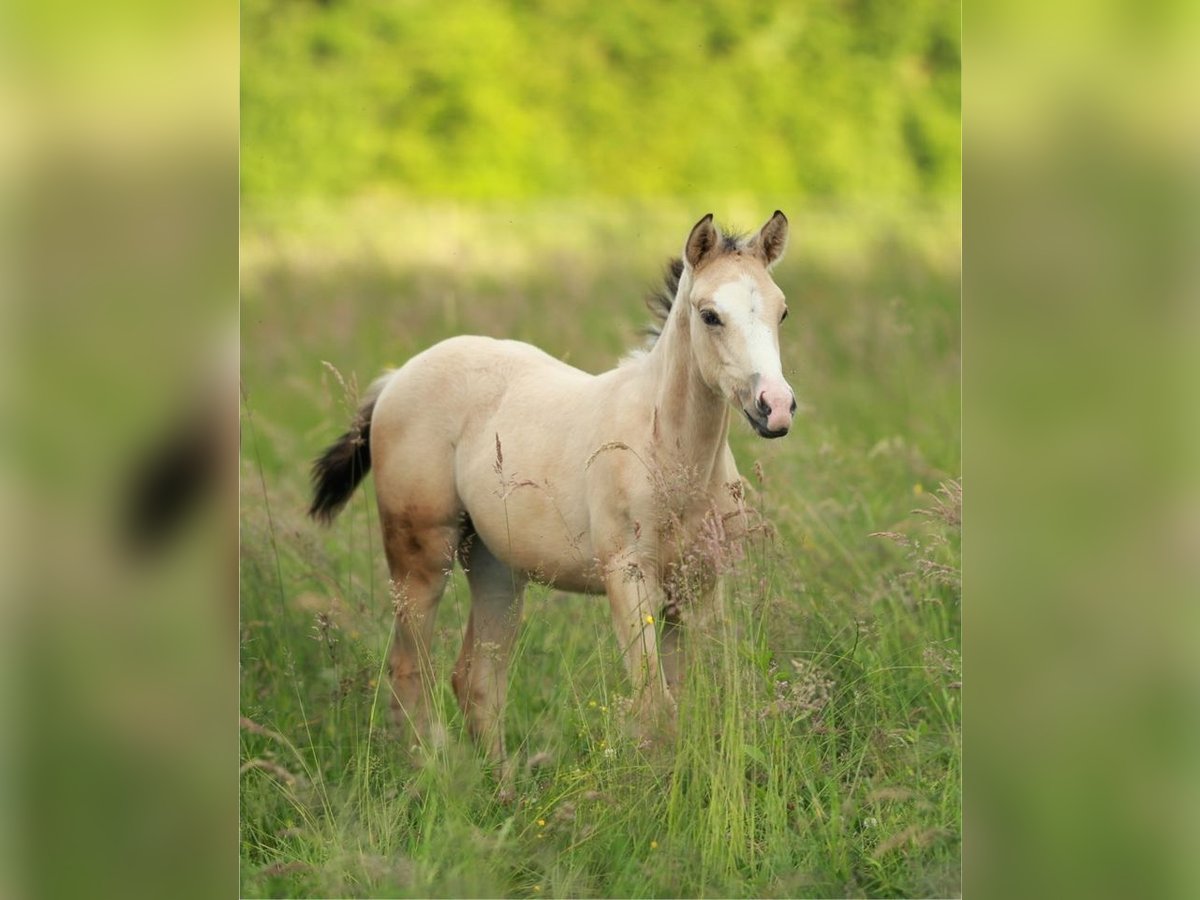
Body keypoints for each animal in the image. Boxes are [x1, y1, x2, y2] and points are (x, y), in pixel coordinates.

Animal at [312, 213, 796, 768]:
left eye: (782, 311)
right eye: (710, 315)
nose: (775, 407)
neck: (670, 457)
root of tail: (395, 379)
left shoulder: (699, 585)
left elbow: (691, 702)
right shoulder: (628, 577)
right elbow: (655, 708)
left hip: (495, 567)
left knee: (477, 680)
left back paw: (500, 785)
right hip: (420, 557)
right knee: (408, 670)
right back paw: (437, 772)